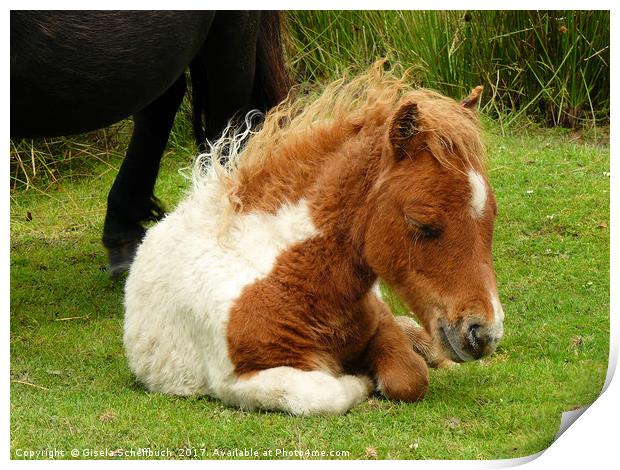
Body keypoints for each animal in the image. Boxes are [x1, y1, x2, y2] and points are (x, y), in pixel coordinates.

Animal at [124, 65, 504, 414]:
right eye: (421, 222)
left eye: (491, 217)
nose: (485, 333)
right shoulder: (237, 382)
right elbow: (327, 394)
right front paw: (361, 380)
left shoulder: (378, 321)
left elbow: (409, 376)